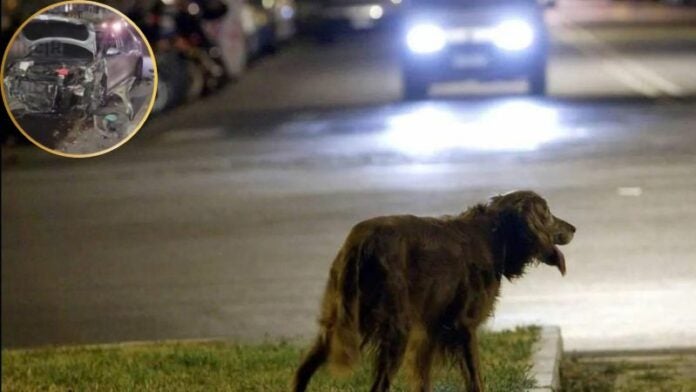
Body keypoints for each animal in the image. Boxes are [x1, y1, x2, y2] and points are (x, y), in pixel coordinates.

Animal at [290, 189, 572, 388]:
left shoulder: (431, 331)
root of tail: (362, 239)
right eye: (547, 213)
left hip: (338, 323)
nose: (574, 228)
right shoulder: (463, 327)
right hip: (396, 331)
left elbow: (423, 379)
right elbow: (475, 380)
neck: (494, 234)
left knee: (302, 371)